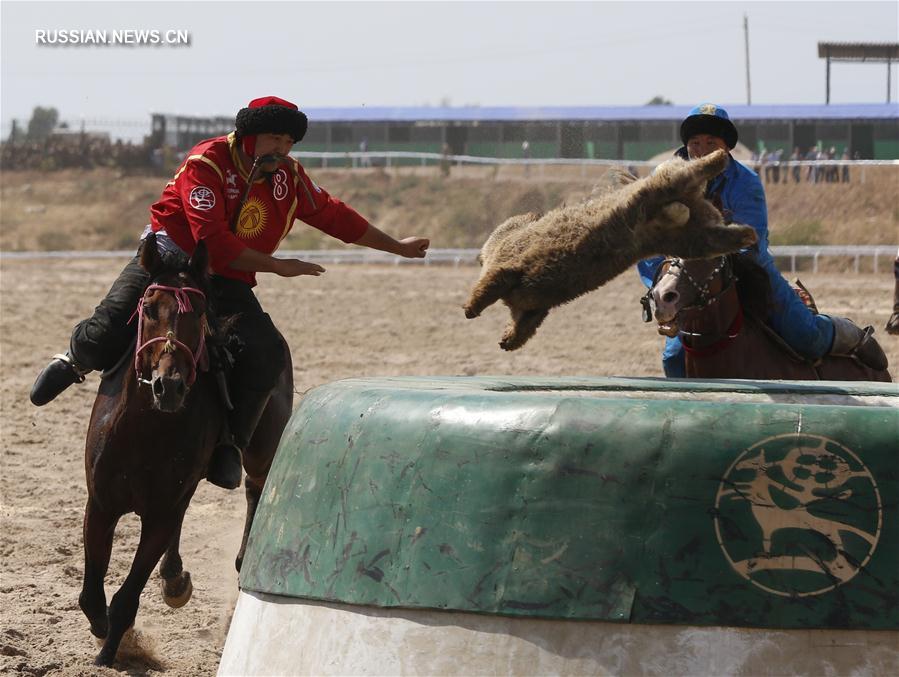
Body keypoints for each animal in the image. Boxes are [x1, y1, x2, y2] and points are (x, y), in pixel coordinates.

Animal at [79, 234, 294, 664]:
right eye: (148, 309)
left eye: (197, 313)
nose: (170, 386)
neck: (143, 431)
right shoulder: (101, 505)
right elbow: (91, 593)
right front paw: (105, 635)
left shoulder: (159, 515)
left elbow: (126, 597)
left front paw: (112, 650)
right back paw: (174, 578)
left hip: (261, 451)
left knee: (255, 489)